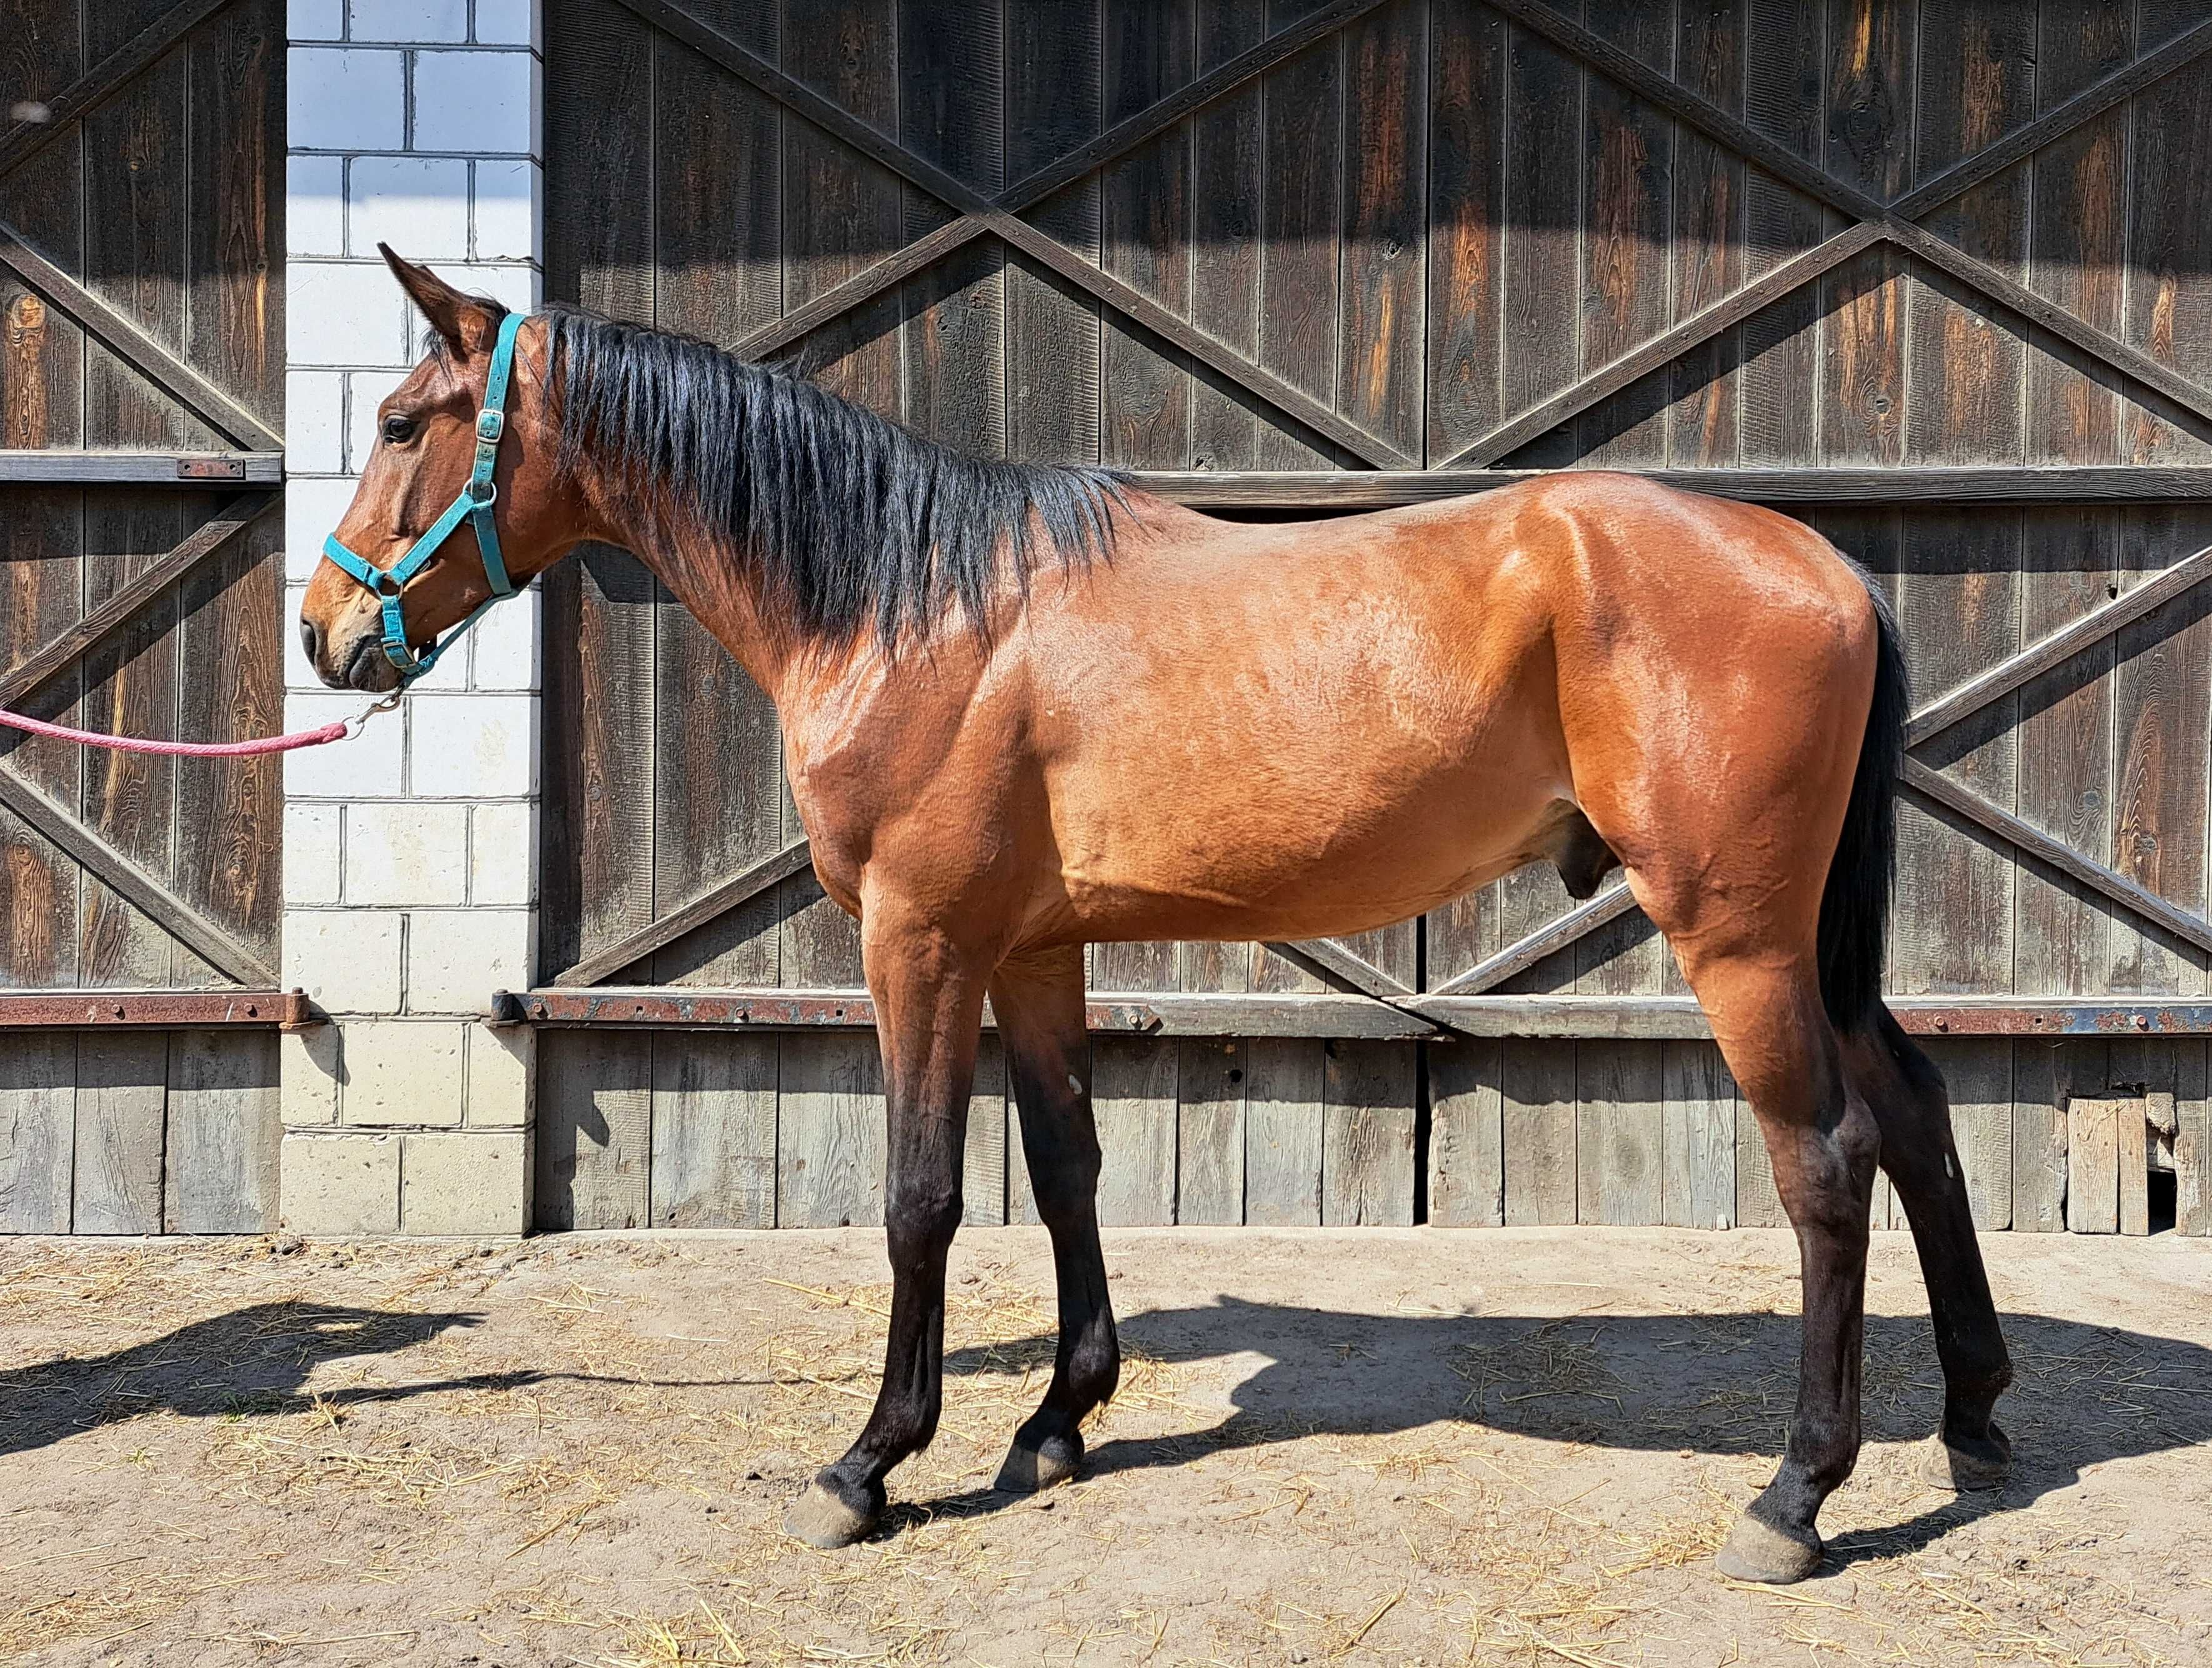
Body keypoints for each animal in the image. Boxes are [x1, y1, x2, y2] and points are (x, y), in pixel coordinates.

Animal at [303, 253, 2017, 1575]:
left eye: (399, 422)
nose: (324, 633)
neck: (915, 605)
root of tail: (1825, 566)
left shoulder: (918, 942)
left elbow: (920, 1196)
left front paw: (870, 1462)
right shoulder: (1031, 949)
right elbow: (1065, 1166)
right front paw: (1057, 1418)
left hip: (1737, 941)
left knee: (1828, 1164)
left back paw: (1794, 1495)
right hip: (1808, 945)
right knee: (1918, 1114)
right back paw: (1975, 1416)